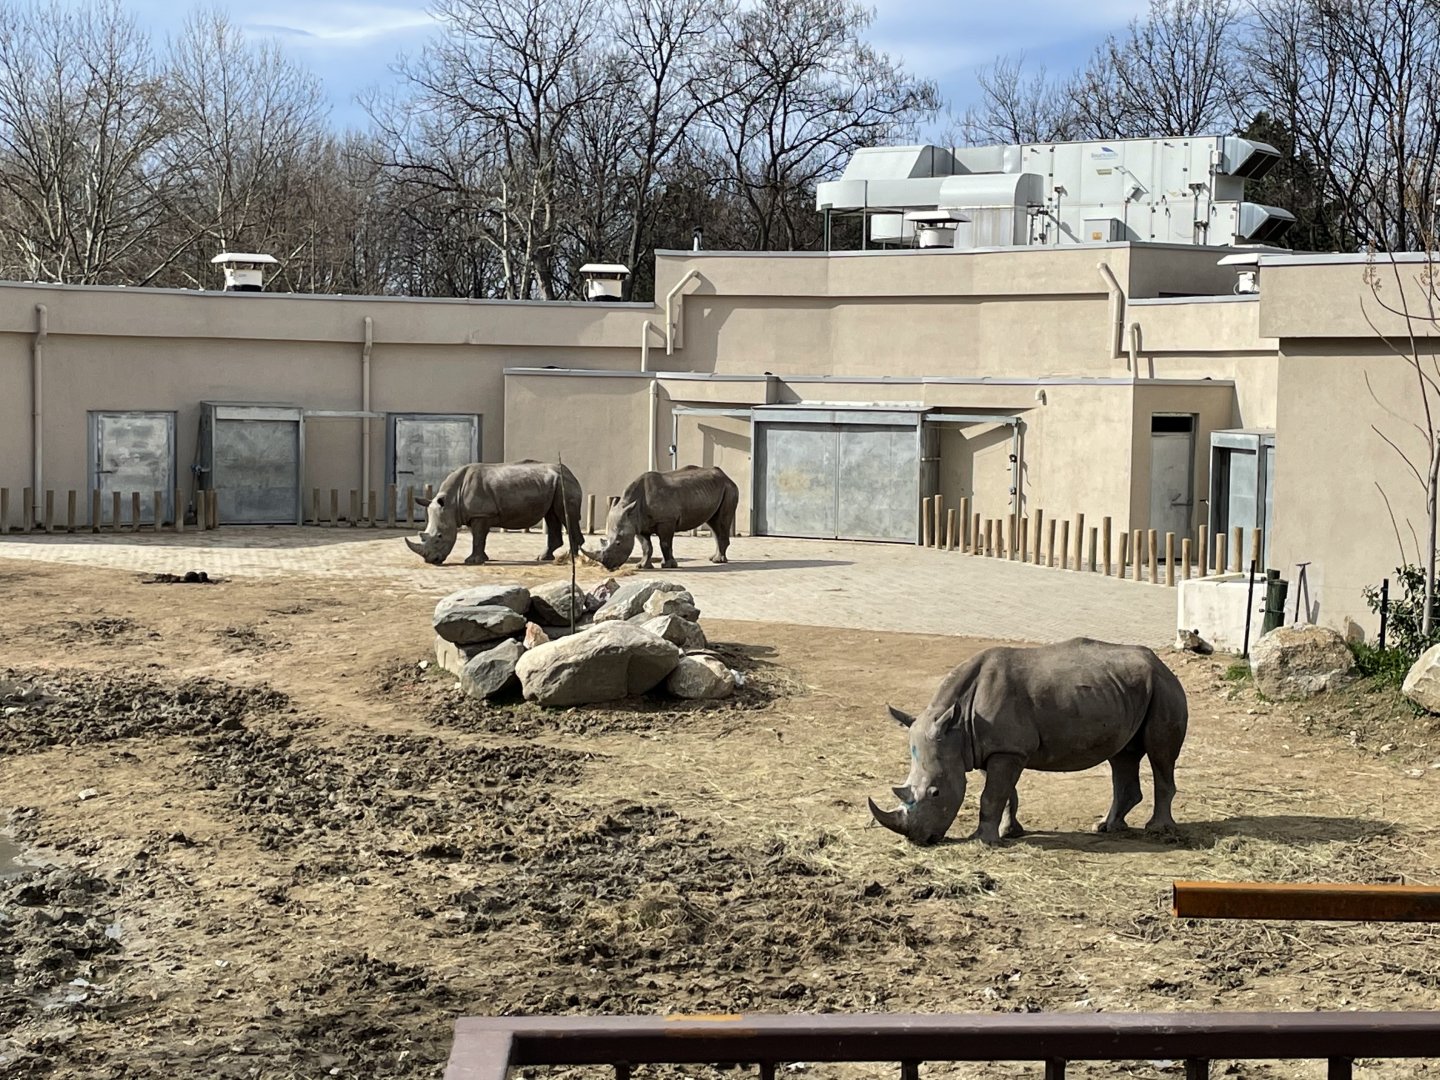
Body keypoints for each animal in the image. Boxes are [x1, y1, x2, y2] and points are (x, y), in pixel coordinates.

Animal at [404, 460, 584, 566]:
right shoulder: (475, 515)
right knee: (552, 515)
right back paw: (544, 558)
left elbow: (478, 538)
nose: (431, 560)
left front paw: (472, 561)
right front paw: (484, 558)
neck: (451, 503)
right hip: (554, 485)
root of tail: (571, 473)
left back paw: (571, 559)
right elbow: (478, 537)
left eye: (439, 537)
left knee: (565, 516)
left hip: (564, 484)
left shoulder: (481, 514)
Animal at [589, 466, 739, 570]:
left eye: (619, 543)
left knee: (722, 522)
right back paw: (713, 558)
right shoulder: (638, 524)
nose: (608, 567)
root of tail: (727, 477)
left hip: (729, 489)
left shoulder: (666, 520)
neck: (631, 505)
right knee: (714, 523)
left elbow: (665, 543)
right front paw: (642, 566)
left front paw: (668, 565)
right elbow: (646, 546)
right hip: (712, 491)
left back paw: (718, 561)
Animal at [868, 638, 1188, 846]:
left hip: (1164, 687)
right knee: (1122, 755)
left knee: (1160, 755)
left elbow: (992, 795)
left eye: (935, 793)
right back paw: (1107, 827)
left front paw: (983, 841)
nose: (918, 840)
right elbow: (1006, 793)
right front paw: (1009, 833)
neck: (956, 727)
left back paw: (1158, 831)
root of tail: (1161, 662)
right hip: (1126, 691)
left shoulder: (1007, 750)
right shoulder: (992, 748)